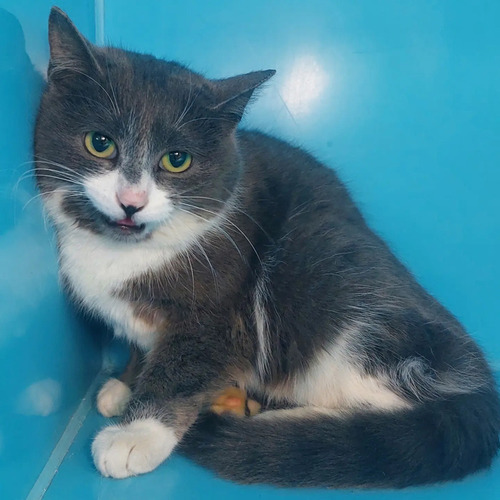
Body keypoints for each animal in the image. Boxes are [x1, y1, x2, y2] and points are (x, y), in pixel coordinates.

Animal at [34, 7, 499, 488]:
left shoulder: (225, 312)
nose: (131, 201)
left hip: (333, 284)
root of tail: (481, 386)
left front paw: (136, 435)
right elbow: (142, 347)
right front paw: (125, 383)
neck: (125, 253)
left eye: (177, 160)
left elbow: (184, 365)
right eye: (99, 143)